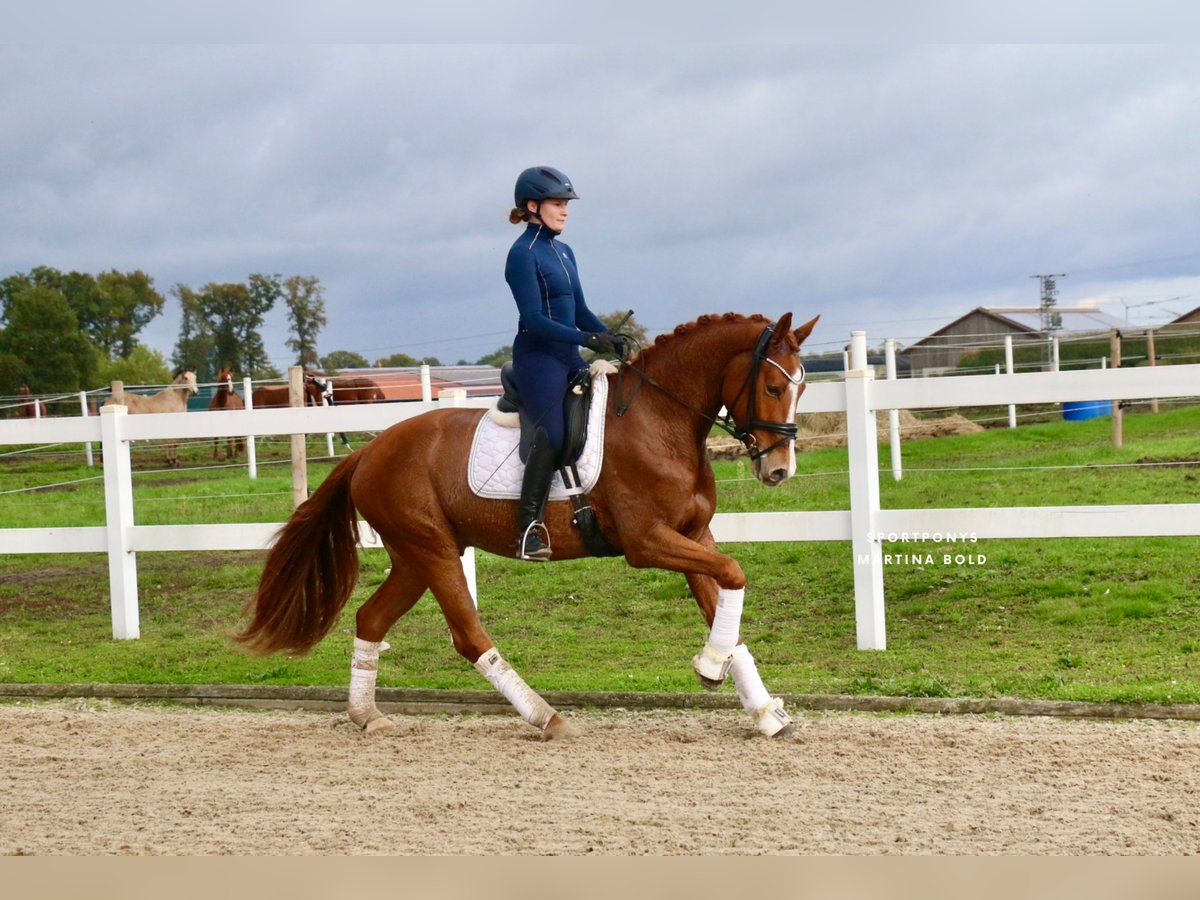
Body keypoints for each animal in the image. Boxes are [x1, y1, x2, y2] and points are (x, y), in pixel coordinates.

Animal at [236, 312, 818, 740]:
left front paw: (761, 709)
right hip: (433, 552)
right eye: (772, 386)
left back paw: (366, 716)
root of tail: (370, 451)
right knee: (469, 637)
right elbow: (735, 572)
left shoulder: (694, 536)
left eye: (802, 388)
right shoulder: (648, 542)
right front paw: (711, 667)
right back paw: (546, 716)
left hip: (415, 557)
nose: (779, 470)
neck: (661, 419)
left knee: (371, 620)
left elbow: (726, 597)